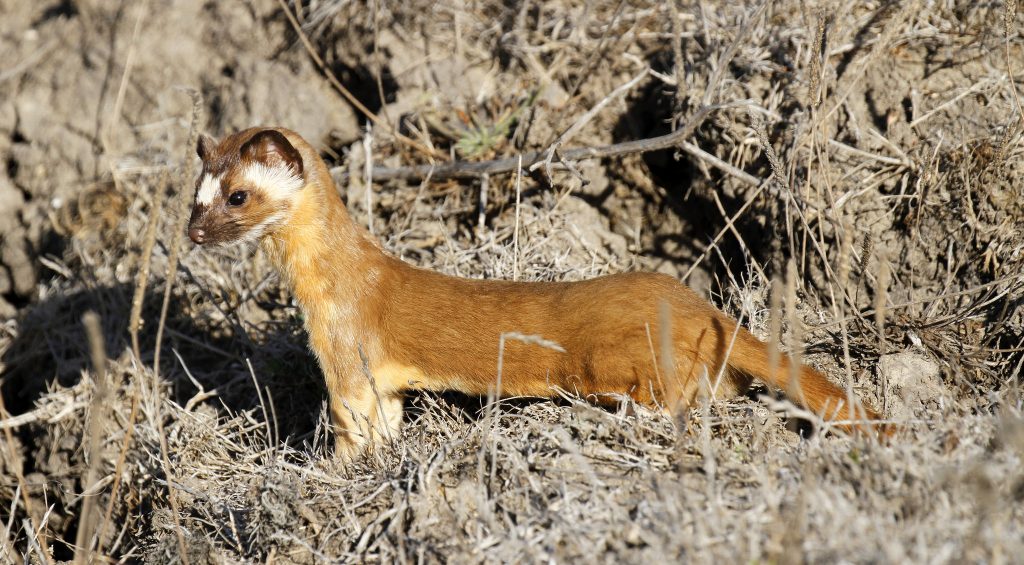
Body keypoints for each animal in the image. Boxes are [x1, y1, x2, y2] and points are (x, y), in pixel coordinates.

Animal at [186, 126, 888, 454]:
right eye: (194, 195)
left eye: (238, 195)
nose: (194, 232)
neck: (329, 289)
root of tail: (697, 308)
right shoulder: (381, 382)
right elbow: (386, 422)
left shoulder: (347, 354)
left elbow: (353, 427)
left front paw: (336, 471)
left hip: (626, 364)